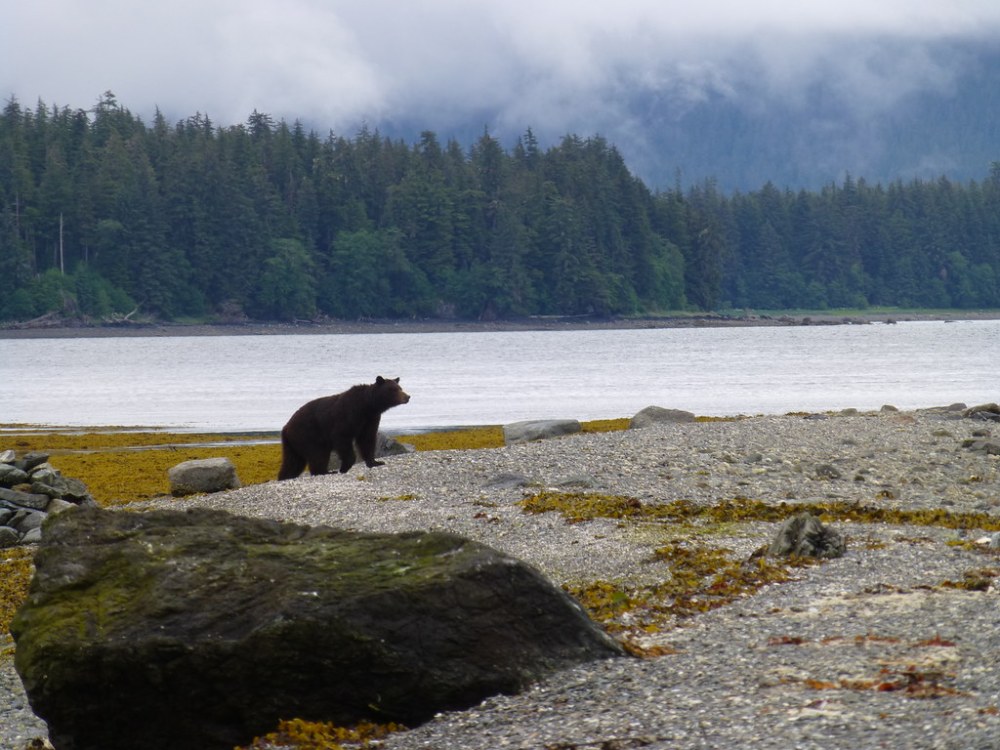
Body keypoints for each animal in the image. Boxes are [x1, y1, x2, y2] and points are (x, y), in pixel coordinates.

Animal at [278, 376, 410, 482]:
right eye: (393, 389)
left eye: (400, 387)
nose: (407, 396)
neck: (368, 405)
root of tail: (286, 427)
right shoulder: (348, 415)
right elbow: (342, 437)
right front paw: (344, 467)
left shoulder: (371, 419)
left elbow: (367, 439)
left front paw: (376, 462)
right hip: (308, 434)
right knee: (318, 454)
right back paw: (325, 471)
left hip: (293, 444)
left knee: (293, 462)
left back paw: (285, 476)